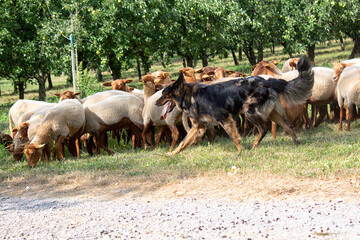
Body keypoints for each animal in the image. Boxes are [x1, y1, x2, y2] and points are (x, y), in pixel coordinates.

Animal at [156, 55, 314, 157]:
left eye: (164, 94)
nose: (156, 102)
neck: (190, 96)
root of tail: (267, 81)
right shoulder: (197, 128)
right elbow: (183, 143)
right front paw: (172, 153)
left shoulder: (225, 119)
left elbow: (234, 137)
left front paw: (240, 152)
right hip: (273, 114)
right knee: (289, 127)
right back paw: (297, 143)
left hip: (251, 113)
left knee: (264, 129)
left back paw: (253, 146)